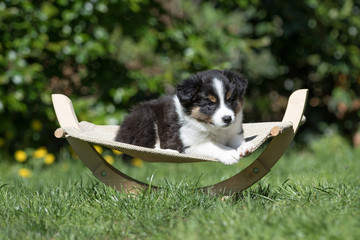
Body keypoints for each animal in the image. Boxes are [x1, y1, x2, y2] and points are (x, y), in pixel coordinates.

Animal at [114, 69, 253, 165]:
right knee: (146, 144)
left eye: (231, 100)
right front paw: (228, 153)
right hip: (145, 118)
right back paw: (170, 151)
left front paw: (245, 147)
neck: (214, 128)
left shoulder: (234, 133)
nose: (227, 119)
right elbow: (212, 145)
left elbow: (238, 141)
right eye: (210, 104)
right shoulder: (189, 144)